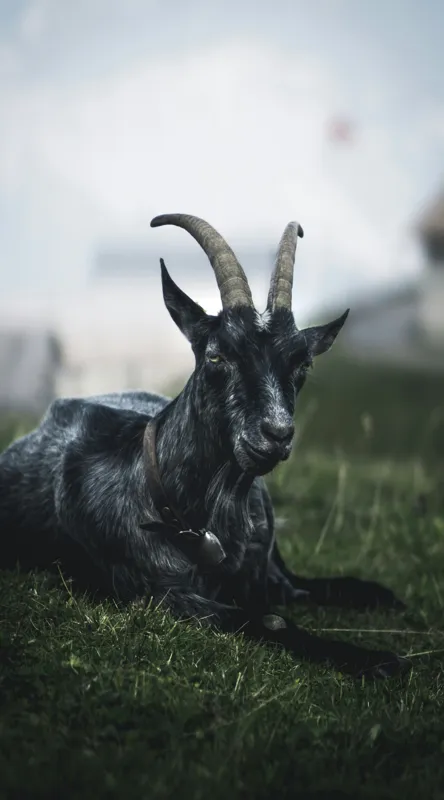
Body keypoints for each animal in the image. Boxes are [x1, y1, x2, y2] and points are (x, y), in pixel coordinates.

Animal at [0, 213, 409, 679]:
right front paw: (377, 659)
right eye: (217, 355)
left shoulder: (262, 577)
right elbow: (271, 620)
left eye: (303, 363)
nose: (276, 433)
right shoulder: (161, 594)